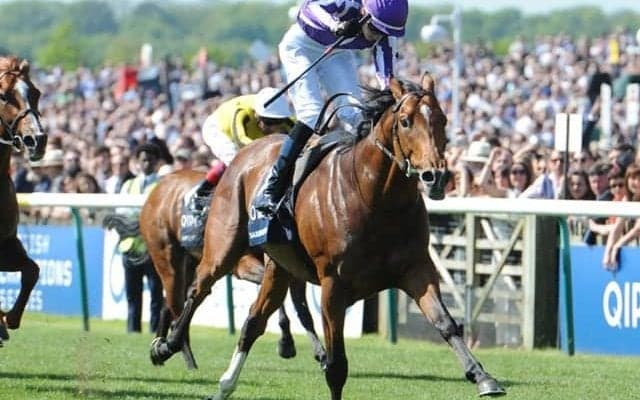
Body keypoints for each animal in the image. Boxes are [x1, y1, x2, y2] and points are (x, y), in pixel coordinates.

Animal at [104, 169, 326, 369]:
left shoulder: (293, 269)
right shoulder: (243, 264)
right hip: (167, 258)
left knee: (170, 304)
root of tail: (156, 191)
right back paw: (184, 358)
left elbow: (303, 311)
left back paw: (161, 350)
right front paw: (286, 343)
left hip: (189, 265)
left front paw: (319, 352)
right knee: (177, 304)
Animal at [151, 74, 505, 399]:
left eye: (442, 119)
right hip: (222, 248)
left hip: (279, 266)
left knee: (254, 319)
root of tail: (247, 154)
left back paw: (225, 383)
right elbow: (337, 366)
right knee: (197, 289)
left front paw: (483, 377)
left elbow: (445, 323)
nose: (436, 176)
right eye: (405, 121)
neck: (376, 198)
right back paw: (166, 345)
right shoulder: (333, 284)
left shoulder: (416, 269)